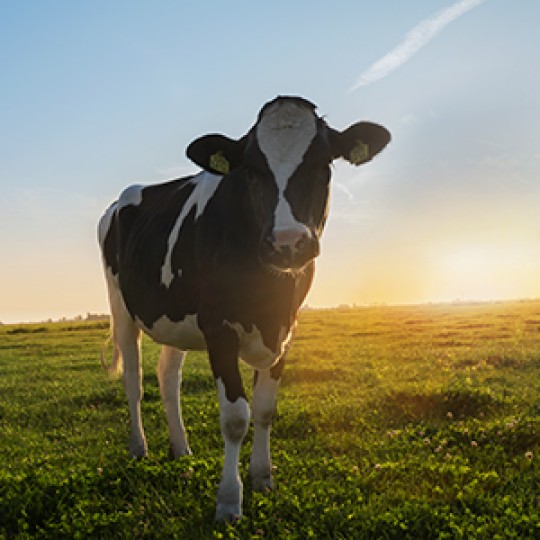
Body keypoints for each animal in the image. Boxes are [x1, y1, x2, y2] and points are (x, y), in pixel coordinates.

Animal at [98, 96, 388, 520]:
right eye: (251, 169)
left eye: (324, 164)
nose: (288, 243)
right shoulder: (218, 328)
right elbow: (236, 417)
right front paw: (229, 500)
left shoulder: (287, 329)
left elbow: (265, 408)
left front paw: (262, 477)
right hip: (121, 306)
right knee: (134, 381)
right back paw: (140, 448)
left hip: (173, 316)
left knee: (168, 376)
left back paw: (181, 450)